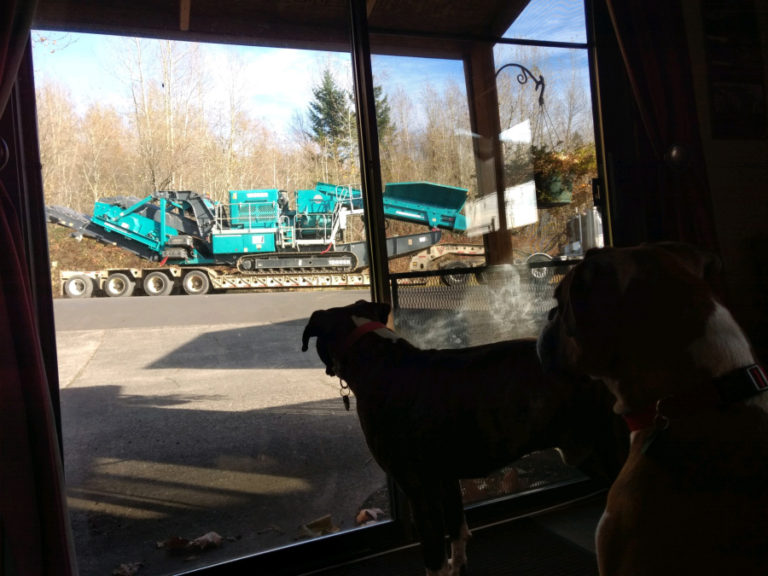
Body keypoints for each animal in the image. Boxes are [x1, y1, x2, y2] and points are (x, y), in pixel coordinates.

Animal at [300, 302, 624, 576]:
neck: (377, 356)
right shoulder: (446, 480)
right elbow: (457, 530)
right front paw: (459, 565)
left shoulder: (420, 492)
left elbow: (434, 560)